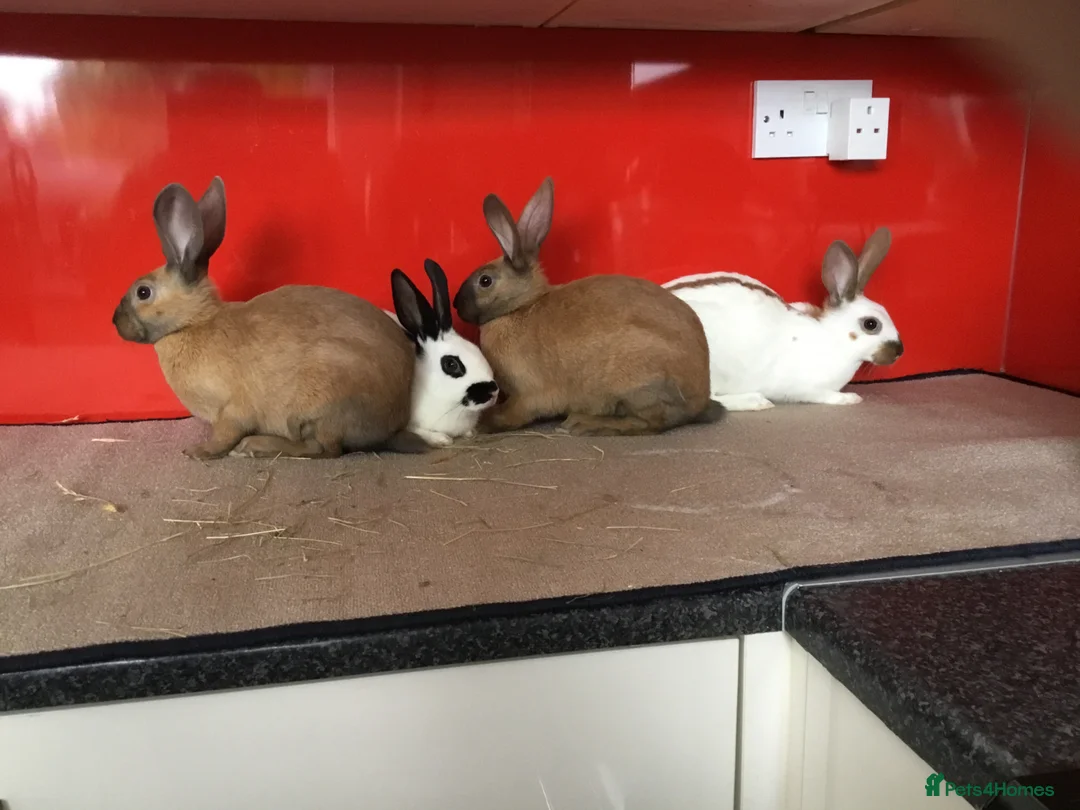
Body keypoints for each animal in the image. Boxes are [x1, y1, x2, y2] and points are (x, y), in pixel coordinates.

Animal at [111, 176, 426, 459]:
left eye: (143, 292)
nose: (115, 322)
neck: (194, 323)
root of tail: (393, 421)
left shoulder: (232, 410)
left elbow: (224, 434)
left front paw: (198, 451)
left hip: (317, 405)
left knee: (323, 449)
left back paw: (254, 446)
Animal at [388, 258, 499, 447]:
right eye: (451, 364)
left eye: (477, 349)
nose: (493, 392)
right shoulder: (409, 425)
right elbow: (420, 432)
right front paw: (442, 439)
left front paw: (469, 433)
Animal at [452, 177, 724, 437]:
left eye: (485, 281)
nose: (456, 305)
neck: (520, 307)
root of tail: (700, 399)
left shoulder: (528, 396)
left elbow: (510, 415)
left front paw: (480, 424)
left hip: (640, 384)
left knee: (652, 423)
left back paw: (585, 424)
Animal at [663, 227, 903, 411]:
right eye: (871, 324)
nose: (900, 351)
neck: (833, 338)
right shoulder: (804, 388)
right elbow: (824, 395)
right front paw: (849, 398)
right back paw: (756, 401)